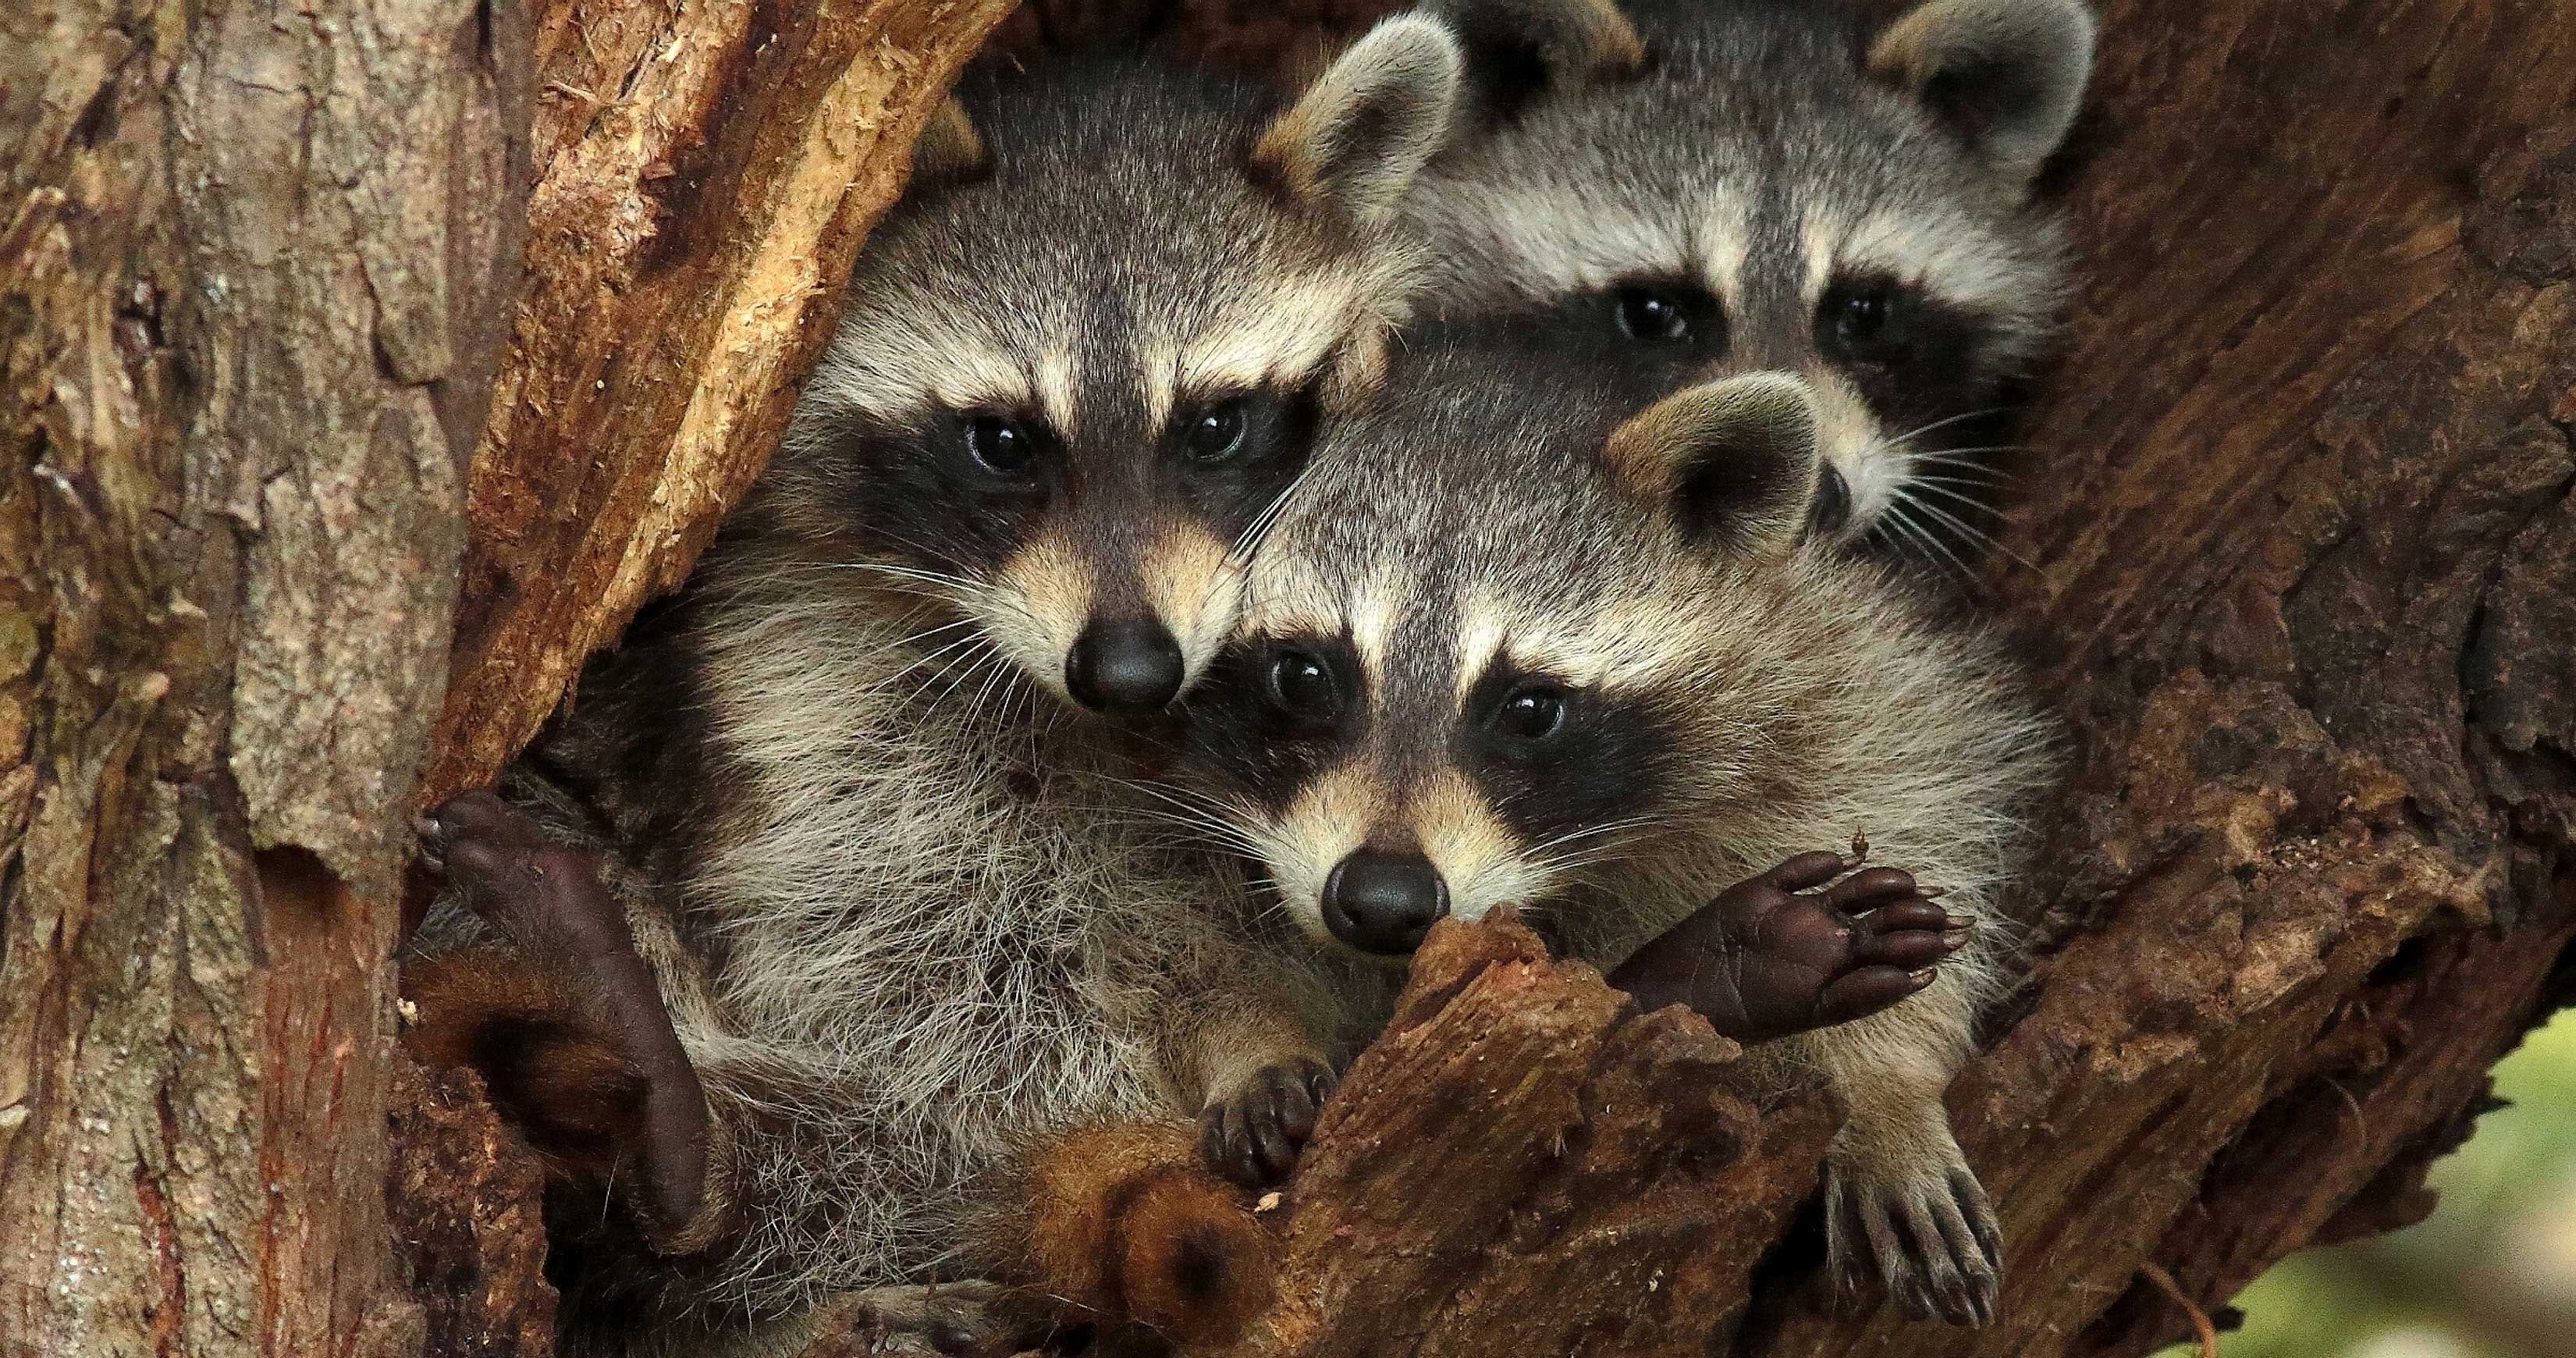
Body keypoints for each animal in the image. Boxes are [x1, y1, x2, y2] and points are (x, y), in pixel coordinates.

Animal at [1179, 340, 2060, 1329]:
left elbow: (1920, 791)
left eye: (1529, 708)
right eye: (1302, 675)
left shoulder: (1826, 656)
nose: (1382, 900)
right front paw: (1250, 1038)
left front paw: (1887, 1091)